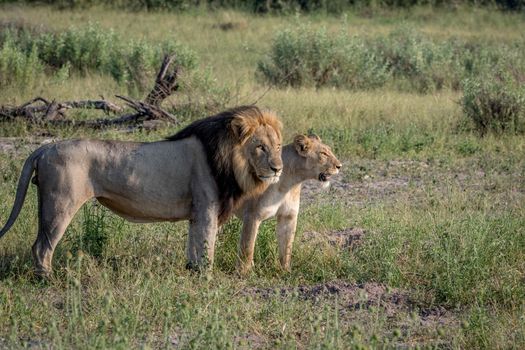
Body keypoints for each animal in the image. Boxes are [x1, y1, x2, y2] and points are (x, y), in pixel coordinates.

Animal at [0, 105, 282, 274]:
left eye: (278, 146)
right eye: (260, 147)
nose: (278, 168)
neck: (231, 162)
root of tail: (46, 147)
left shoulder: (196, 214)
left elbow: (193, 247)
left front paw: (191, 273)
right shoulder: (207, 209)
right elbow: (206, 249)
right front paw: (207, 280)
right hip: (60, 204)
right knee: (41, 246)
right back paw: (46, 279)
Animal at [236, 134, 340, 274]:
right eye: (323, 153)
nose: (340, 166)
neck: (289, 183)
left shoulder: (288, 216)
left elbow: (287, 247)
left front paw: (286, 271)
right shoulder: (252, 215)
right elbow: (248, 246)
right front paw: (244, 273)